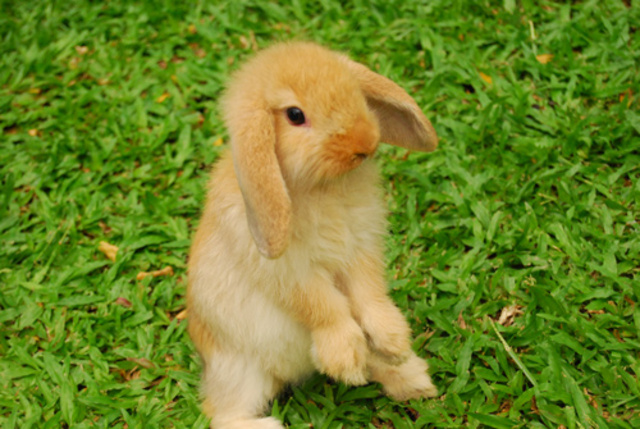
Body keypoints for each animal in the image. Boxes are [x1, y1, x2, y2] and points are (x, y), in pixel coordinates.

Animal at [187, 41, 439, 429]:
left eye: (354, 90)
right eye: (295, 115)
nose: (365, 143)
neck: (320, 187)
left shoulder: (360, 249)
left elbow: (369, 295)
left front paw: (394, 341)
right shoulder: (292, 273)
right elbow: (324, 306)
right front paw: (346, 363)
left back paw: (412, 378)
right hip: (240, 372)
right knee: (222, 414)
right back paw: (272, 425)